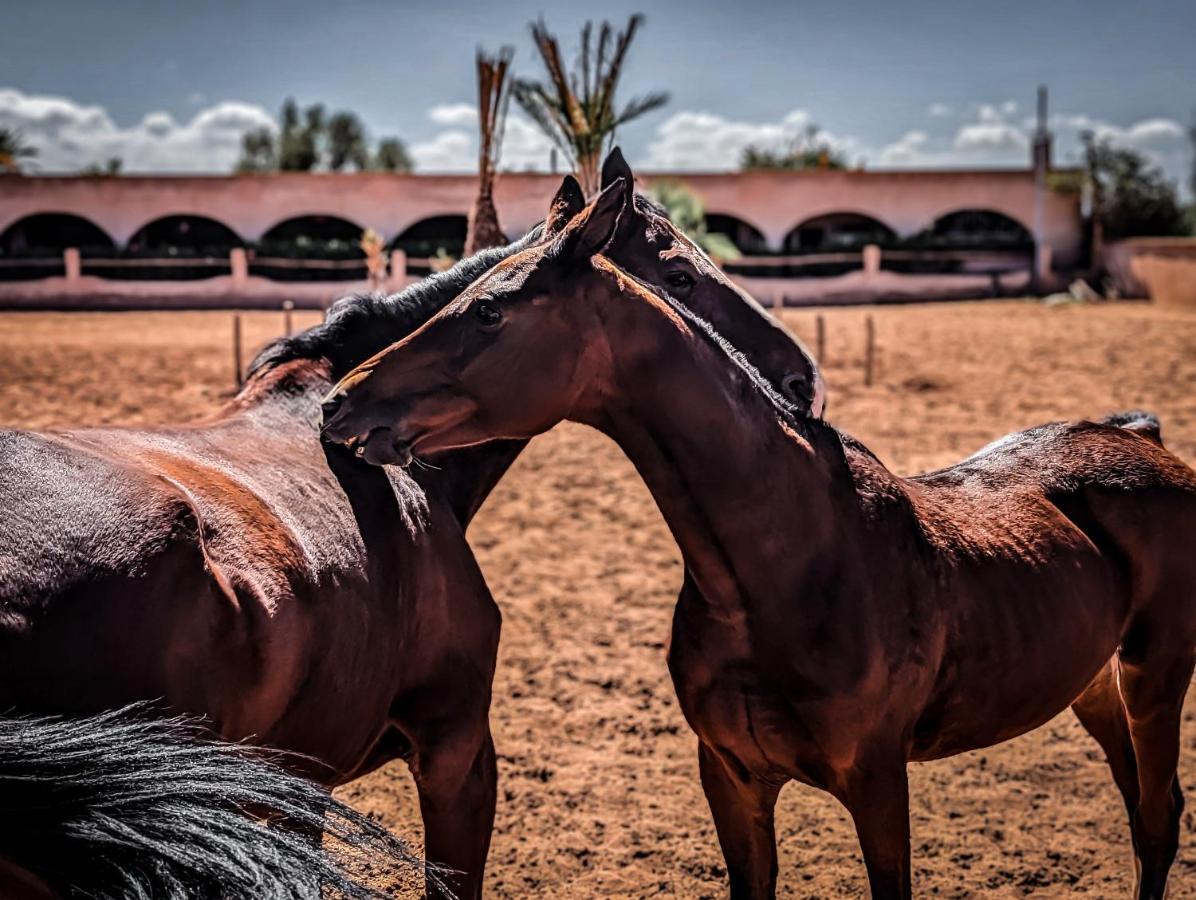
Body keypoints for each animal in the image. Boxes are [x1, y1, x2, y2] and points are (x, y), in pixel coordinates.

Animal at [322, 176, 1196, 898]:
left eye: (490, 309)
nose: (340, 403)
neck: (793, 564)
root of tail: (1147, 438)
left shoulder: (878, 782)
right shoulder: (733, 779)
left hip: (1156, 678)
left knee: (1158, 819)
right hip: (1094, 685)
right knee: (1139, 806)